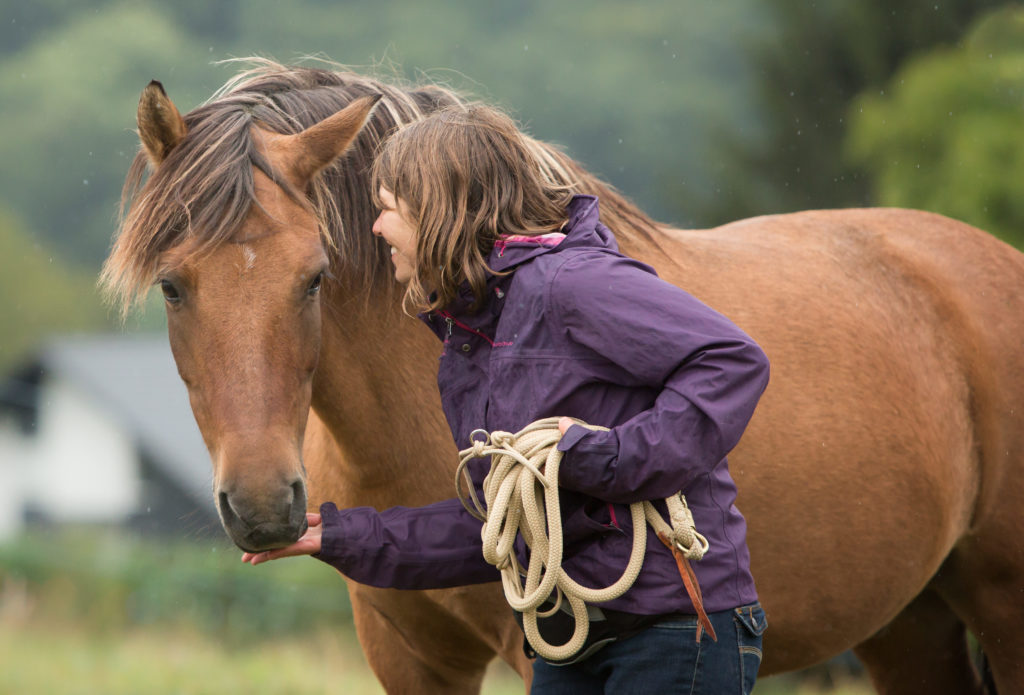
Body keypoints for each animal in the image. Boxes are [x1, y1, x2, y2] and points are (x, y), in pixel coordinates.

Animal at [101, 61, 1024, 695]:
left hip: (999, 602)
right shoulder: (412, 658)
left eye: (315, 277)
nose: (264, 507)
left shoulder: (538, 648)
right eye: (174, 285)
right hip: (910, 621)